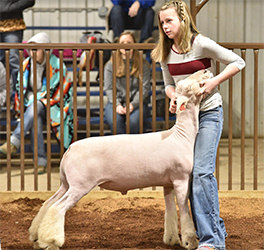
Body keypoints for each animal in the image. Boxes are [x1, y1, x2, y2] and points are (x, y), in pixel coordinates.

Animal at [28, 69, 210, 250]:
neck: (181, 135)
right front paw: (190, 241)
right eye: (188, 86)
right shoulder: (181, 178)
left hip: (67, 184)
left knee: (48, 203)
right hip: (80, 185)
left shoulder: (168, 183)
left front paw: (171, 239)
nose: (205, 70)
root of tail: (70, 149)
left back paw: (36, 236)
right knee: (57, 208)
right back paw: (51, 241)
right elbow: (184, 210)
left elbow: (170, 211)